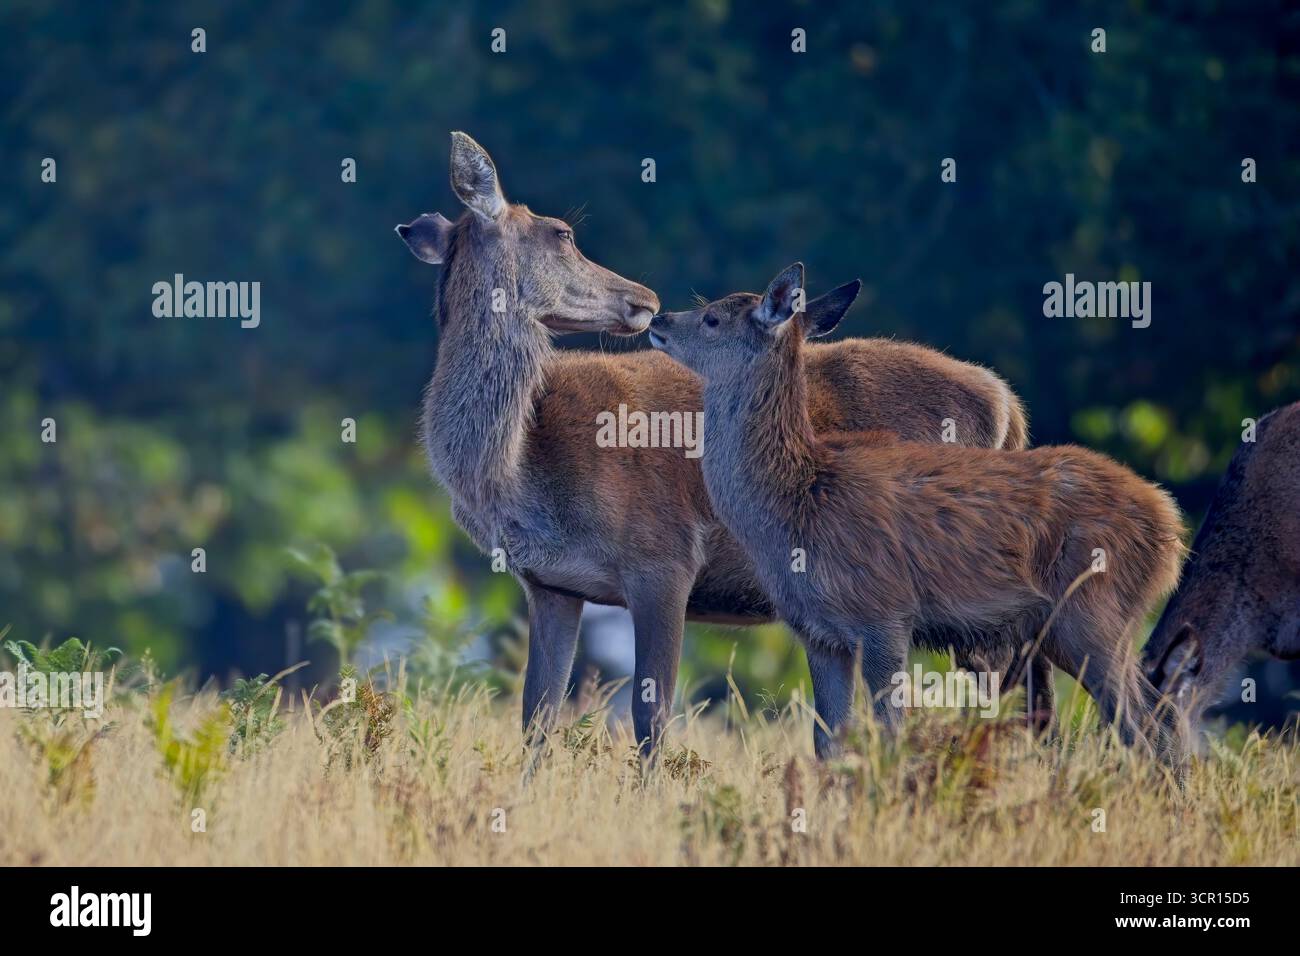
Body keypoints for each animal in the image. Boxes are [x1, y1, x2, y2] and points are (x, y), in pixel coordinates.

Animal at [397, 132, 1029, 757]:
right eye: (563, 233)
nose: (646, 298)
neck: (525, 472)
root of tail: (1007, 405)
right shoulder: (551, 585)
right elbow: (536, 720)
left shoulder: (663, 555)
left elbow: (651, 715)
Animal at [648, 262, 1187, 764]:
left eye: (712, 317)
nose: (659, 319)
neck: (798, 499)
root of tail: (1171, 528)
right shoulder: (818, 633)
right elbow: (827, 741)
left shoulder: (885, 614)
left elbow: (889, 731)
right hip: (1068, 628)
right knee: (1159, 713)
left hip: (1092, 613)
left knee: (1140, 725)